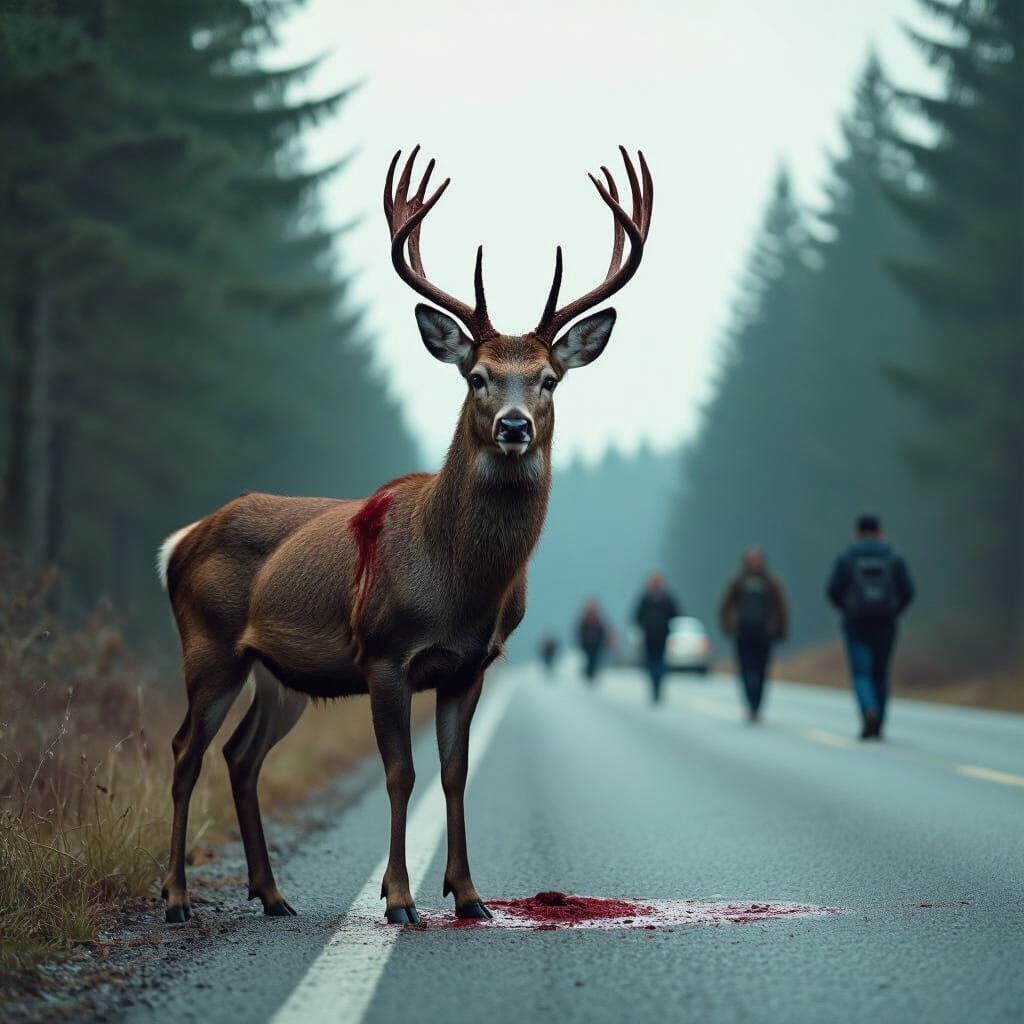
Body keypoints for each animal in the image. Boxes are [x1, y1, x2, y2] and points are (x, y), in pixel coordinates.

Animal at [156, 145, 653, 925]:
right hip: (208, 645)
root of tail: (179, 543)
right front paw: (398, 898)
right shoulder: (384, 653)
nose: (514, 426)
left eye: (549, 379)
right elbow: (400, 772)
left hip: (278, 674)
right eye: (477, 375)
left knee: (240, 755)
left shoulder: (473, 663)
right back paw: (176, 897)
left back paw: (272, 893)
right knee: (184, 752)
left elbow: (454, 772)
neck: (456, 584)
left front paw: (470, 895)